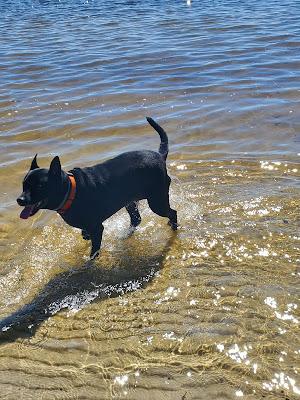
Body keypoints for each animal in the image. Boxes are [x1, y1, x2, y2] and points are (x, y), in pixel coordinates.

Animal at [17, 117, 177, 258]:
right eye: (24, 184)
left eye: (40, 185)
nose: (20, 199)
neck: (70, 191)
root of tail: (160, 156)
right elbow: (85, 235)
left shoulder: (97, 228)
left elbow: (94, 251)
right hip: (130, 201)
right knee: (136, 219)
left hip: (157, 200)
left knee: (172, 212)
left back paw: (174, 226)